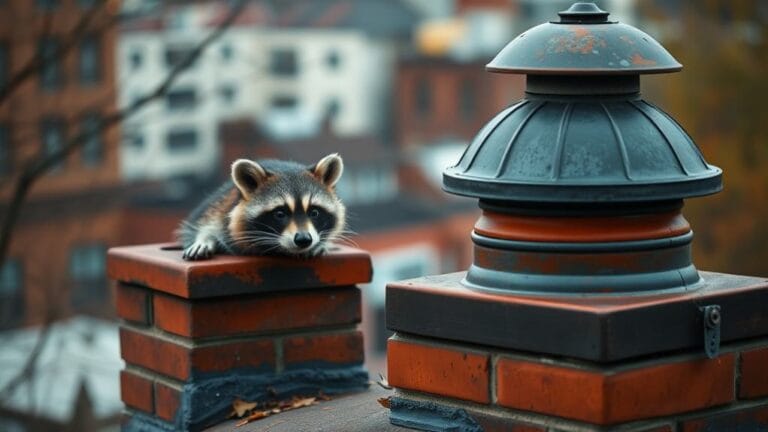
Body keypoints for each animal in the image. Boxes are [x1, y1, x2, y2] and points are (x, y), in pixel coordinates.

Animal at [177, 153, 346, 260]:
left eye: (314, 212)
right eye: (280, 214)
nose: (304, 239)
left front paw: (322, 244)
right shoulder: (221, 207)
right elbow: (208, 223)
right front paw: (205, 237)